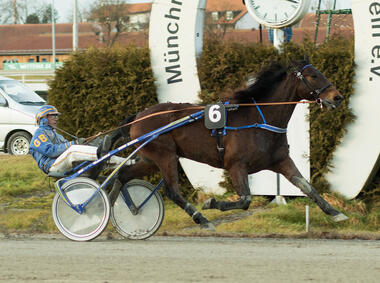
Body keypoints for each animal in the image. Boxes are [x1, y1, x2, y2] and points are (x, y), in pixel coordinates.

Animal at [112, 60, 348, 231]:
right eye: (313, 75)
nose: (337, 97)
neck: (260, 119)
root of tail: (138, 116)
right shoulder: (236, 165)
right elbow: (245, 200)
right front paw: (211, 203)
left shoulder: (281, 160)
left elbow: (307, 187)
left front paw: (336, 213)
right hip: (165, 156)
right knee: (172, 191)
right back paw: (202, 219)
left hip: (149, 159)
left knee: (122, 175)